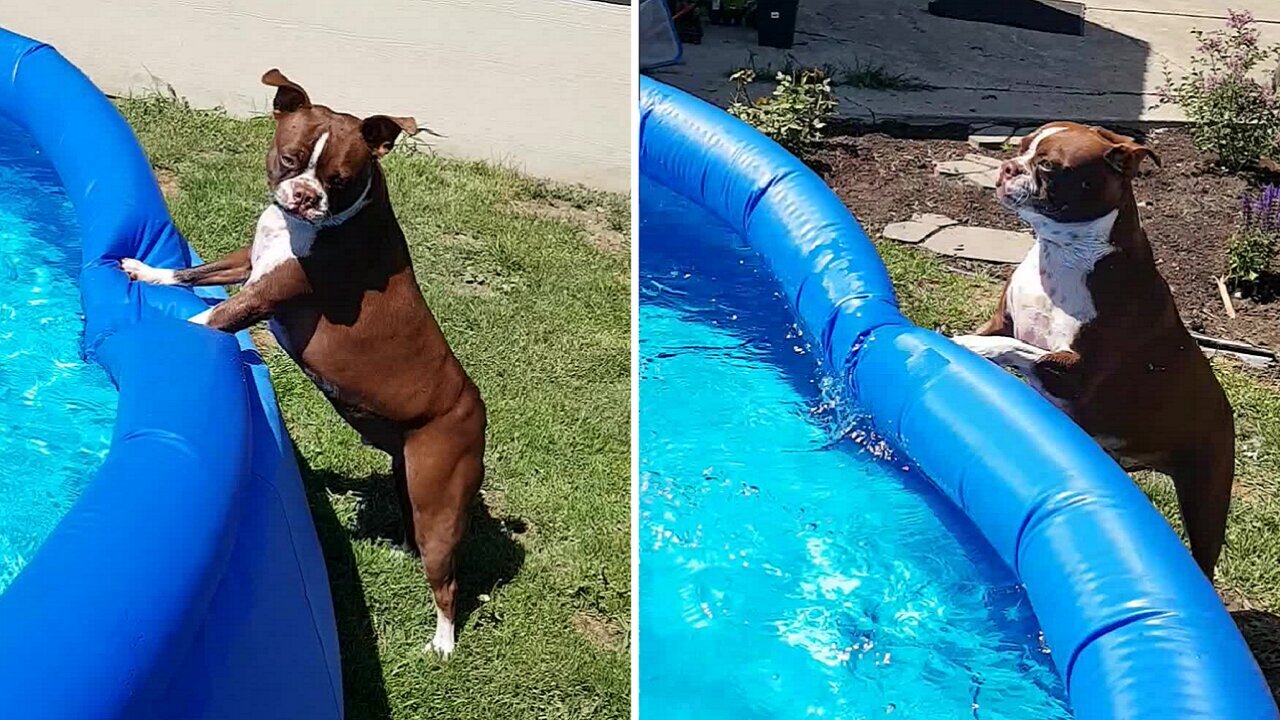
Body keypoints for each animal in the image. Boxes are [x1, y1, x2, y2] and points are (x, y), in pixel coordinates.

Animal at [119, 68, 483, 655]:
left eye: (340, 179)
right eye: (290, 159)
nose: (307, 196)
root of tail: (477, 409)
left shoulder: (262, 297)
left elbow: (203, 319)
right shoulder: (248, 266)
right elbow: (192, 274)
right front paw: (144, 270)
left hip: (441, 500)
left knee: (447, 579)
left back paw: (443, 644)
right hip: (407, 472)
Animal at [952, 121, 1228, 576]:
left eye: (1049, 166)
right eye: (1020, 147)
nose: (1009, 167)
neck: (1064, 254)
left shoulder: (1074, 373)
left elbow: (1015, 348)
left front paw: (969, 345)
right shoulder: (1003, 319)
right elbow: (1004, 337)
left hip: (1205, 493)